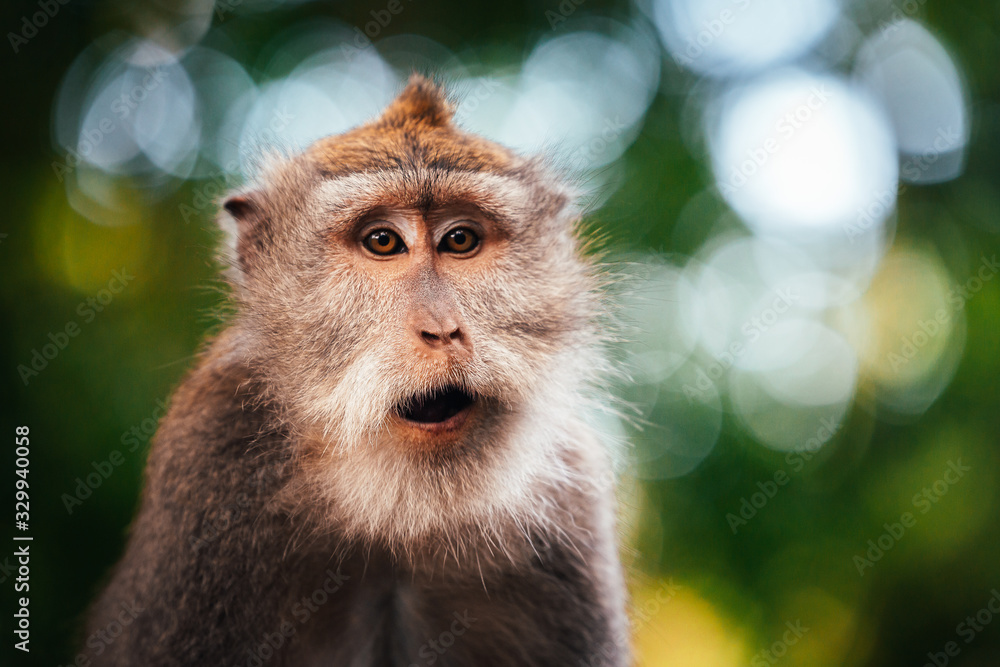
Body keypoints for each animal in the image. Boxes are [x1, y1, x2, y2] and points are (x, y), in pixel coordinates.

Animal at [83, 74, 629, 667]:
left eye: (460, 240)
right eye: (382, 241)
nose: (442, 329)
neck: (398, 518)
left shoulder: (572, 506)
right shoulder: (210, 448)